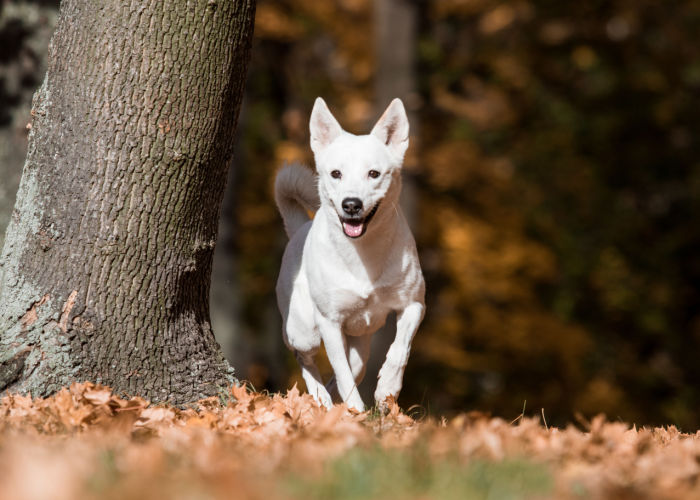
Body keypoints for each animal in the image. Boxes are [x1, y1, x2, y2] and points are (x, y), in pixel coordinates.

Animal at [276, 96, 424, 410]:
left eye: (374, 174)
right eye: (336, 174)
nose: (352, 204)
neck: (362, 253)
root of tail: (299, 228)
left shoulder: (414, 304)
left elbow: (401, 348)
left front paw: (387, 387)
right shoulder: (329, 323)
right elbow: (342, 374)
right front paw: (356, 412)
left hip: (360, 339)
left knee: (353, 368)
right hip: (303, 331)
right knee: (304, 358)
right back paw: (320, 397)